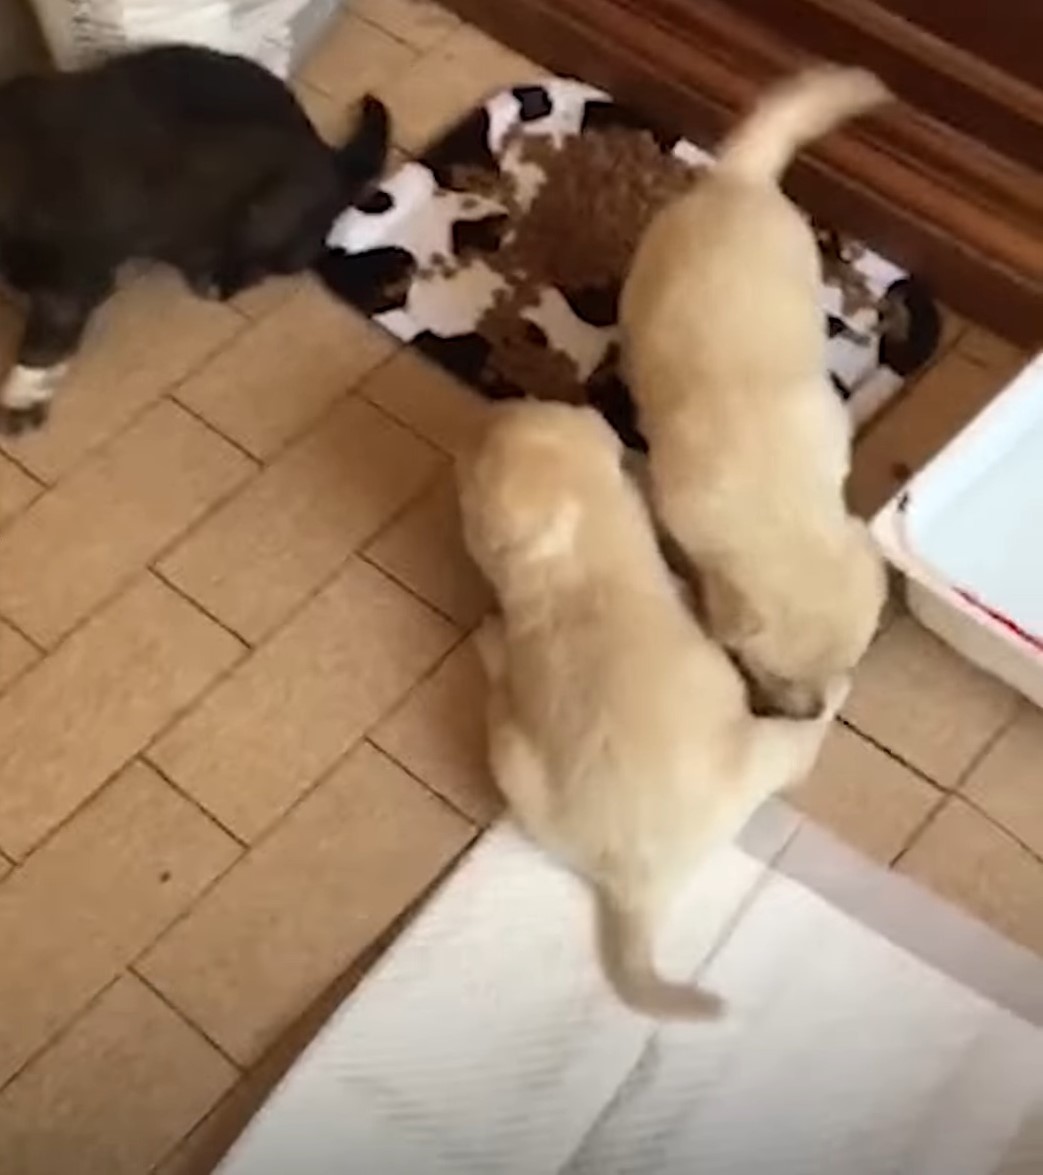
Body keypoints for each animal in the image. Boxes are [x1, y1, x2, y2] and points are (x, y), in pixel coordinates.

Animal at [0, 44, 389, 437]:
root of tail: (331, 158)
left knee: (296, 256)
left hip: (268, 217)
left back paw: (221, 278)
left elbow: (40, 344)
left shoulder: (71, 283)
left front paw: (22, 397)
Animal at [458, 404, 845, 1019]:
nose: (488, 413)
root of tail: (635, 890)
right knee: (798, 755)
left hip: (517, 771)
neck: (567, 553)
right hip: (760, 755)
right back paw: (834, 692)